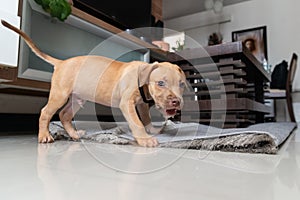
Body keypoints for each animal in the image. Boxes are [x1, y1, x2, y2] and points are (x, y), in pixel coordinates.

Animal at [1, 19, 186, 147]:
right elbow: (137, 123)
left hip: (77, 98)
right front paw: (145, 139)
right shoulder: (127, 103)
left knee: (64, 115)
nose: (176, 102)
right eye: (160, 83)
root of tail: (62, 63)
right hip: (60, 95)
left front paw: (152, 130)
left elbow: (145, 119)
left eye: (181, 85)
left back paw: (74, 135)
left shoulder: (141, 104)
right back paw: (44, 135)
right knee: (46, 112)